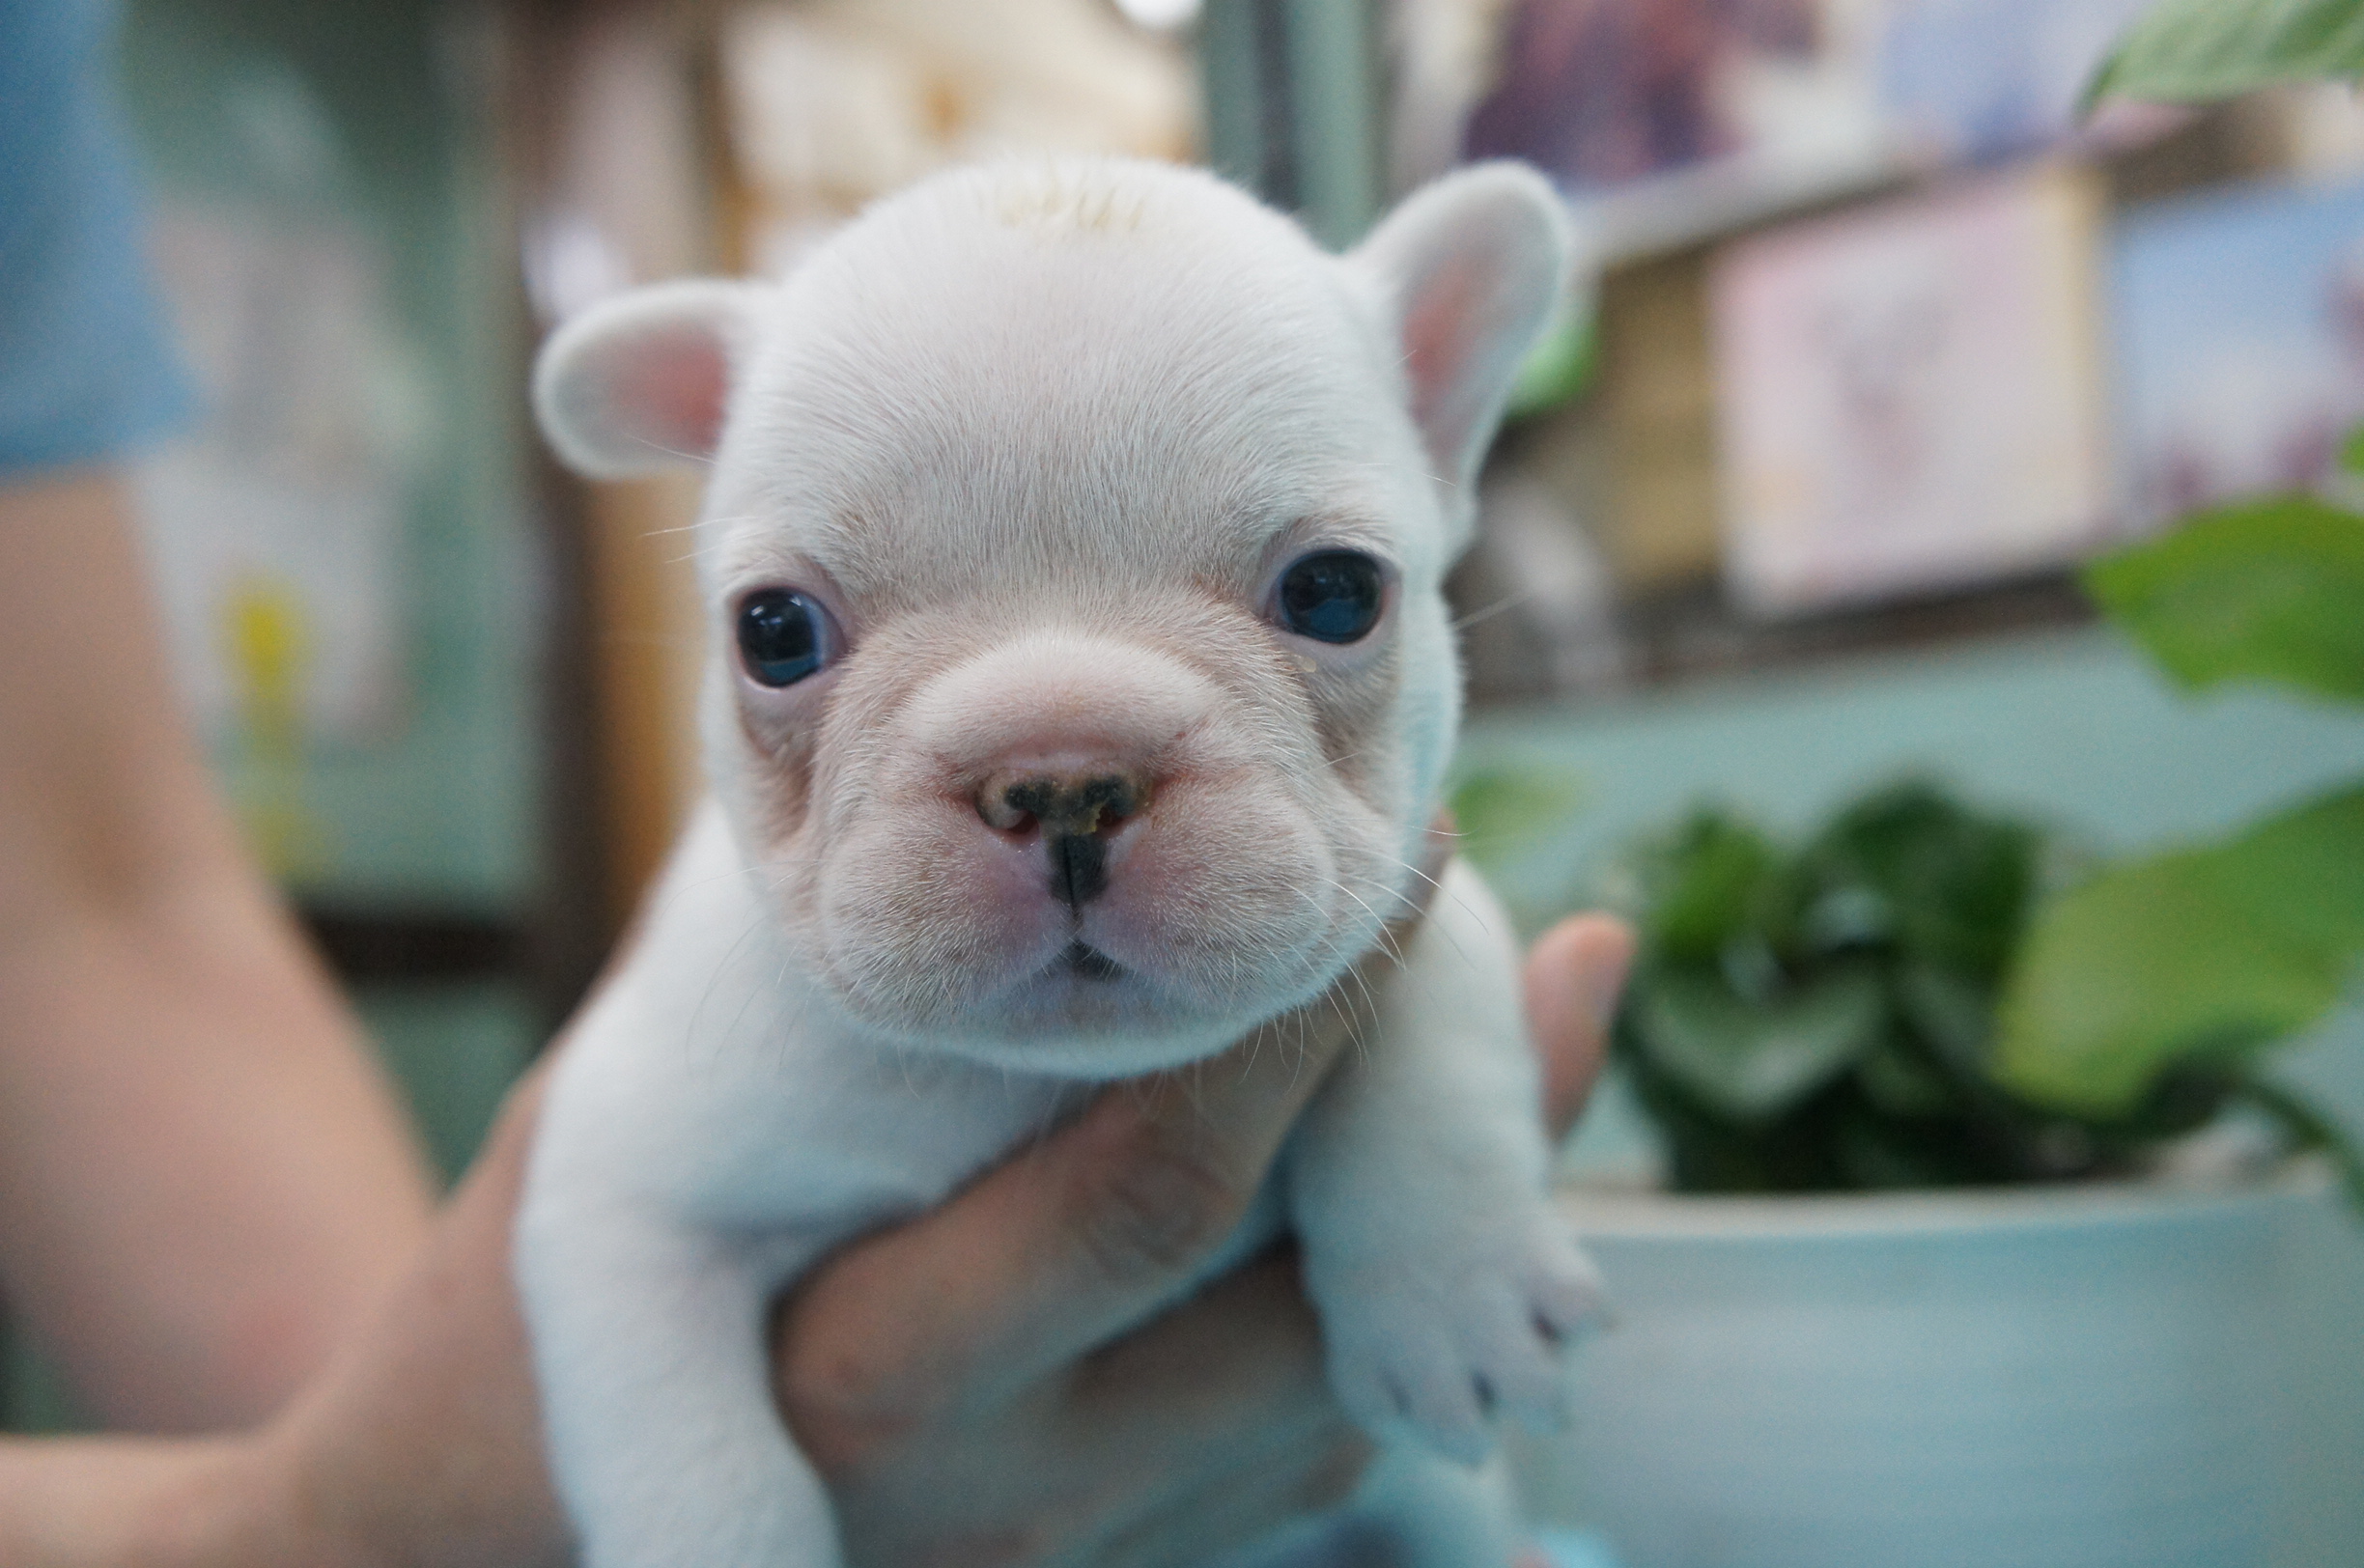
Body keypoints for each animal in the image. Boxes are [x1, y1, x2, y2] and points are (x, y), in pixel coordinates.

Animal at [520, 150, 1607, 1568]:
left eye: (1335, 594)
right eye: (774, 632)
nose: (1062, 776)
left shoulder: (1418, 880)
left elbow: (1437, 1022)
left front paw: (1446, 1285)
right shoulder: (623, 1191)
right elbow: (694, 1455)